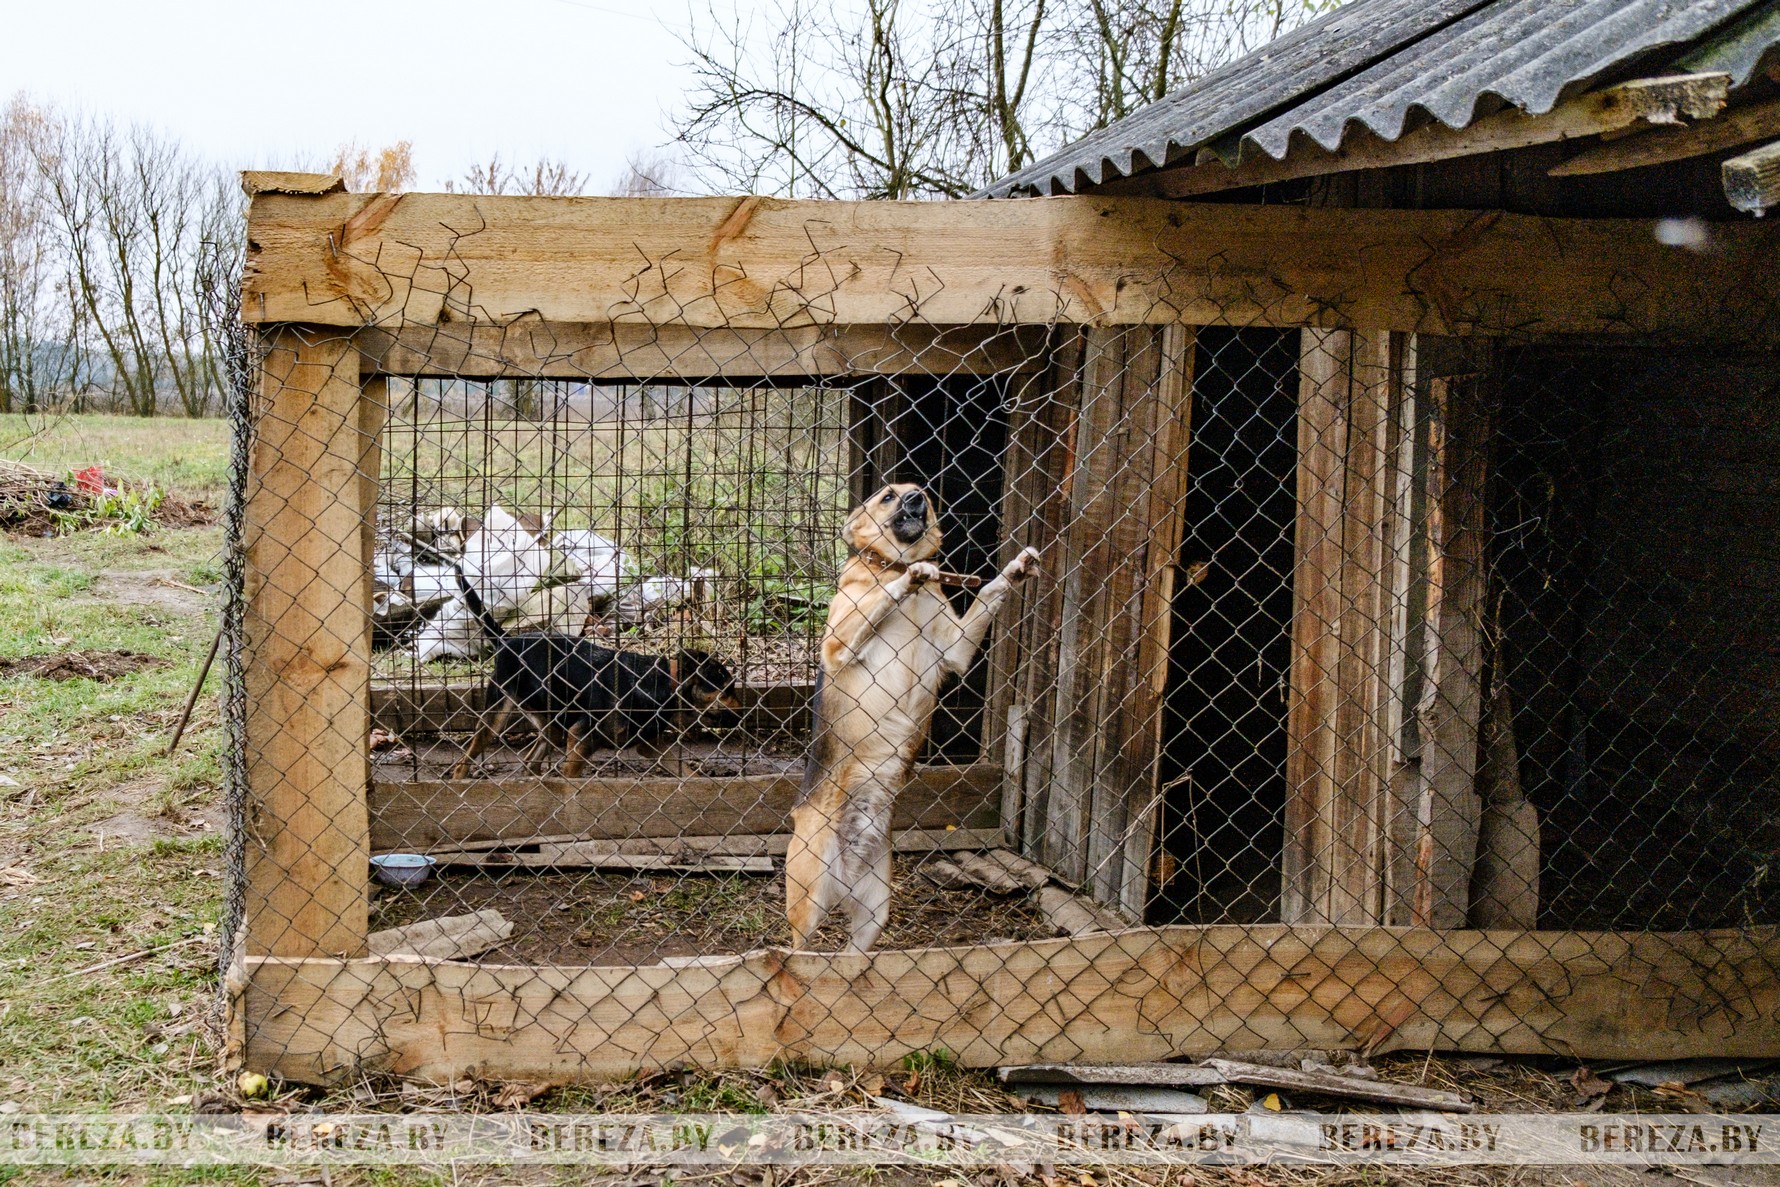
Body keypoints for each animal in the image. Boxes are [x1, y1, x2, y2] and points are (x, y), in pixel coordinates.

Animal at [459, 565, 744, 779]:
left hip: (551, 724)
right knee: (465, 760)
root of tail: (506, 640)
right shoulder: (581, 738)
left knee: (531, 763)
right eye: (727, 689)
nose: (743, 714)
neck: (666, 685)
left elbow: (686, 772)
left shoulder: (650, 744)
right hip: (496, 716)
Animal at [783, 484, 1039, 953]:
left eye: (924, 495)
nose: (918, 496)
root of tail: (845, 872)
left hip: (875, 911)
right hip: (807, 905)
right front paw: (910, 576)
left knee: (854, 952)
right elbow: (886, 596)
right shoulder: (838, 645)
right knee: (800, 950)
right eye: (888, 496)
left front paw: (1014, 570)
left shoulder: (955, 649)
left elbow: (989, 592)